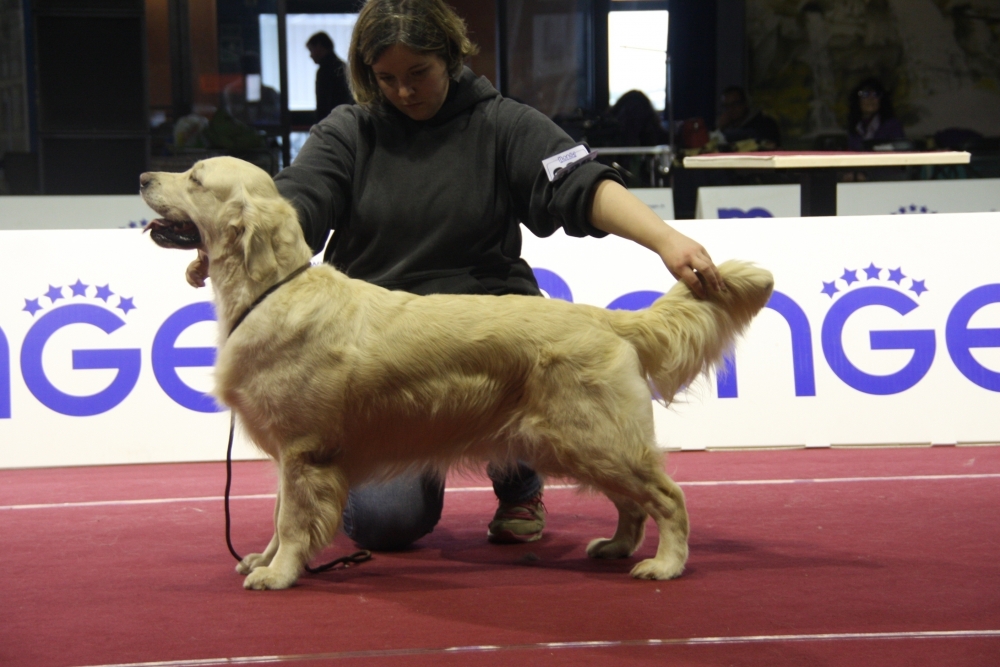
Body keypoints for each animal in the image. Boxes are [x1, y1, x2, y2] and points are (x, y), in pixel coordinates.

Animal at [139, 159, 772, 592]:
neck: (272, 292)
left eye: (195, 178)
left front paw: (279, 573)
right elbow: (277, 517)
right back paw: (617, 547)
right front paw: (264, 558)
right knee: (633, 503)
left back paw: (666, 563)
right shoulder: (289, 457)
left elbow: (293, 522)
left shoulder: (305, 453)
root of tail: (607, 317)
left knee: (667, 496)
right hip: (580, 444)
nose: (143, 175)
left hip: (596, 438)